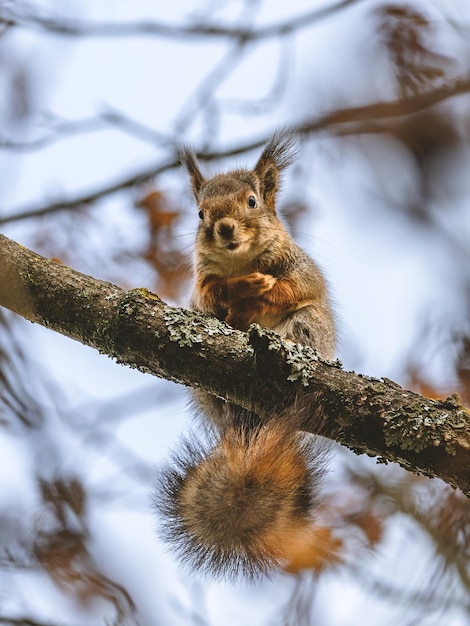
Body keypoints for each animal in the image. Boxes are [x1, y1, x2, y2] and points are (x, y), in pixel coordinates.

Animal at [156, 133, 336, 580]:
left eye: (252, 201)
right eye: (200, 213)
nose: (223, 227)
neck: (240, 262)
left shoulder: (300, 269)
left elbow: (295, 288)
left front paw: (259, 293)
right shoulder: (201, 287)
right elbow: (211, 297)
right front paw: (239, 293)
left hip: (309, 326)